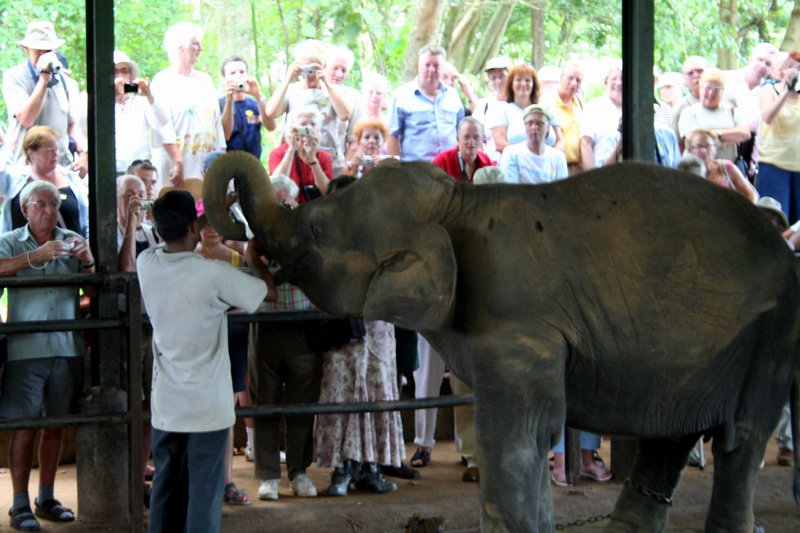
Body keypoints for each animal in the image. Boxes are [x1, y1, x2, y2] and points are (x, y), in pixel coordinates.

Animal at [204, 151, 800, 532]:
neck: (458, 204)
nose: (244, 244)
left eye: (318, 230)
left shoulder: (519, 327)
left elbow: (514, 435)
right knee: (668, 442)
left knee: (740, 443)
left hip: (772, 336)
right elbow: (533, 438)